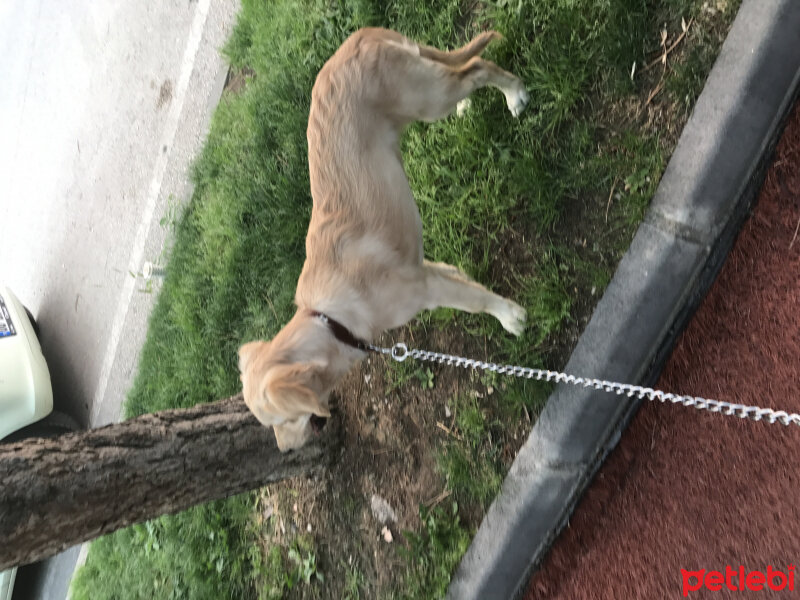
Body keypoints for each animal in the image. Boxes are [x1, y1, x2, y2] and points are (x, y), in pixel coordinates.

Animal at [242, 28, 532, 450]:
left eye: (282, 420)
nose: (285, 449)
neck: (330, 318)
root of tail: (358, 38)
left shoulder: (427, 288)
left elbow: (478, 302)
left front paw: (511, 318)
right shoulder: (428, 268)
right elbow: (464, 277)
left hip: (429, 98)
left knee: (477, 68)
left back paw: (515, 95)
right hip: (427, 90)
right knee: (464, 69)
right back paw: (475, 104)